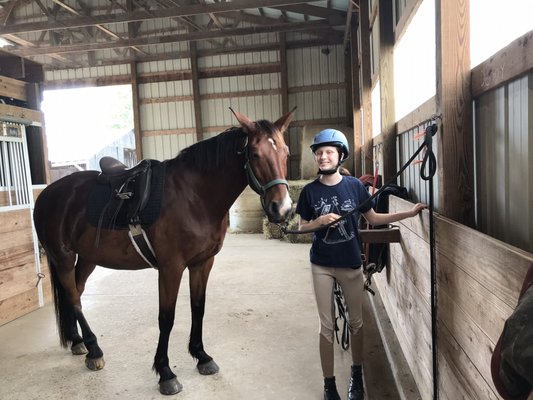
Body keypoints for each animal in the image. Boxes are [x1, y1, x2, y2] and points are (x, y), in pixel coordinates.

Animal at [33, 109, 294, 394]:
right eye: (255, 154)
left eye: (286, 153)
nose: (282, 209)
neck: (194, 196)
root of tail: (48, 193)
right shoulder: (171, 268)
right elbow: (166, 318)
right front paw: (165, 372)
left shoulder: (203, 263)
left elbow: (198, 308)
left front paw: (201, 356)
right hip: (63, 257)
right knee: (73, 297)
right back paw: (94, 349)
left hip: (88, 258)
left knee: (76, 292)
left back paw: (79, 342)